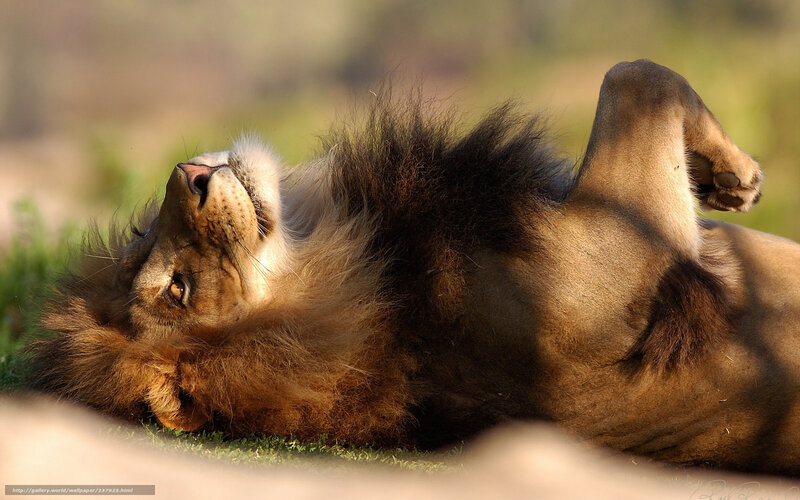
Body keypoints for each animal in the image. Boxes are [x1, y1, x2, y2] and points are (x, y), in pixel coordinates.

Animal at [26, 60, 800, 474]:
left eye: (141, 238)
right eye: (177, 292)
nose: (188, 172)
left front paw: (725, 181)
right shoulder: (631, 248)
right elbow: (638, 78)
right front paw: (737, 175)